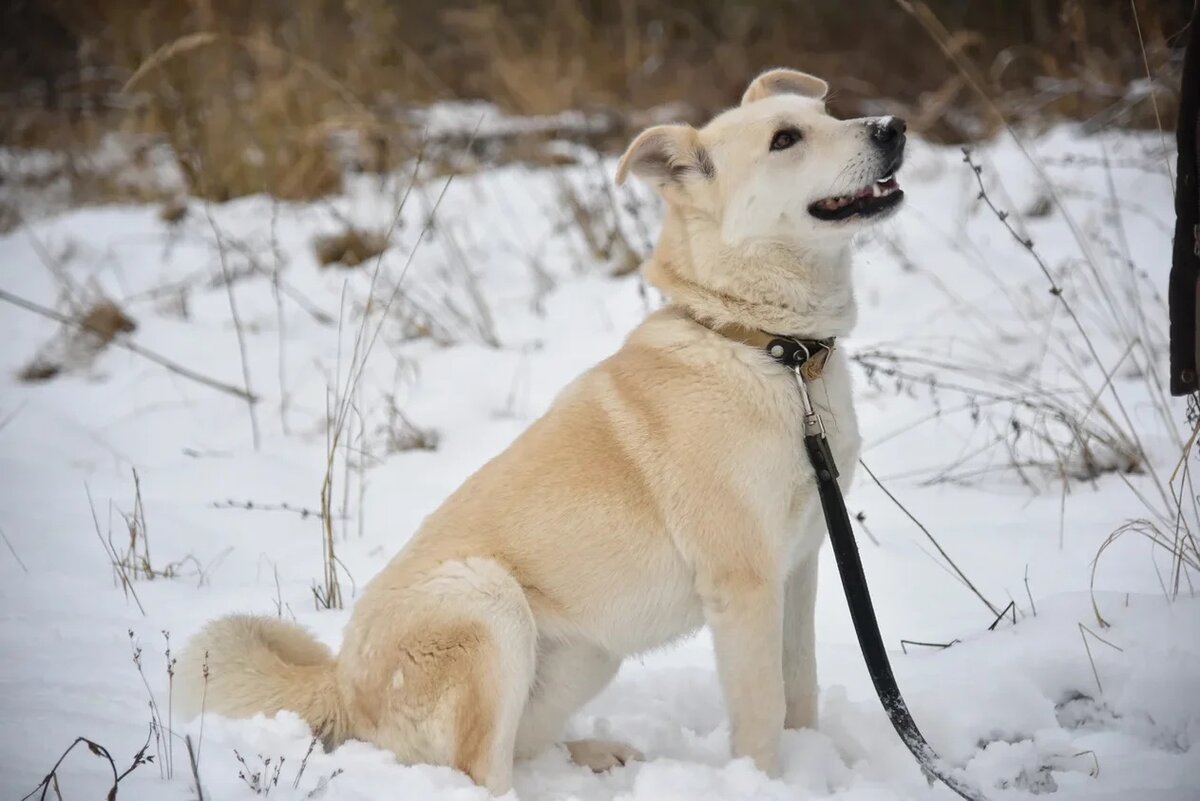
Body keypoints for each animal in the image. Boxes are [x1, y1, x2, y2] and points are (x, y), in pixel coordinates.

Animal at [177, 68, 902, 796]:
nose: (892, 127)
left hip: (586, 655)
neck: (770, 350)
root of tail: (340, 684)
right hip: (487, 601)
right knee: (480, 772)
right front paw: (768, 783)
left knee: (519, 748)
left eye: (826, 114)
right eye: (785, 139)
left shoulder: (801, 565)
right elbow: (762, 712)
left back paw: (594, 756)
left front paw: (815, 764)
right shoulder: (744, 583)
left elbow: (800, 687)